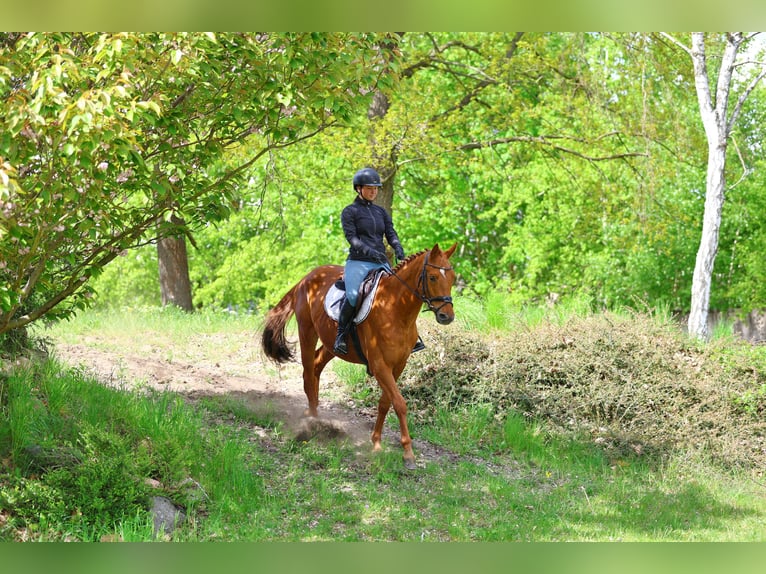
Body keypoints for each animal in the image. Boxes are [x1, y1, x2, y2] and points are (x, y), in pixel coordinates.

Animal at [260, 241, 460, 470]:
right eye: (433, 277)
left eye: (452, 278)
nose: (446, 316)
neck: (395, 309)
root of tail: (306, 278)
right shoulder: (379, 365)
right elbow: (399, 403)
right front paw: (408, 453)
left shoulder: (398, 365)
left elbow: (385, 403)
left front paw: (376, 443)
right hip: (307, 332)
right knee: (309, 373)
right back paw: (312, 423)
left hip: (332, 345)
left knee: (316, 366)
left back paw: (316, 416)